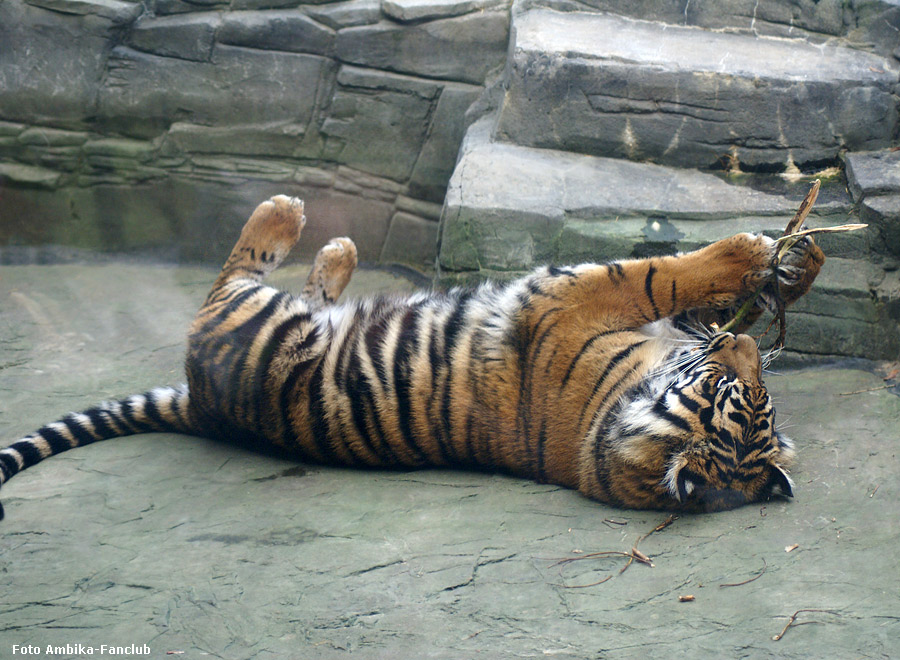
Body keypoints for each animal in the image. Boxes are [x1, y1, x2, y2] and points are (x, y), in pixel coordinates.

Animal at [0, 193, 828, 520]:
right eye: (741, 391)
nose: (748, 348)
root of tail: (202, 407)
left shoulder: (565, 300)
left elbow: (654, 272)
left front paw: (751, 255)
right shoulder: (612, 311)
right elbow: (678, 286)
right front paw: (787, 259)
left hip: (252, 322)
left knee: (232, 274)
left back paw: (292, 218)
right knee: (289, 281)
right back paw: (332, 247)